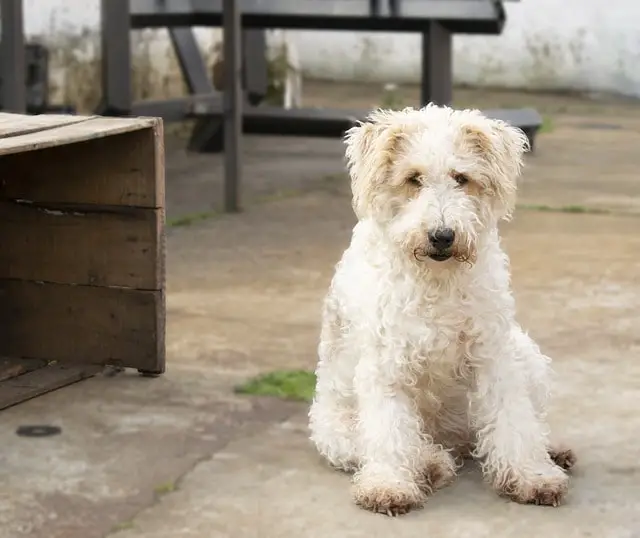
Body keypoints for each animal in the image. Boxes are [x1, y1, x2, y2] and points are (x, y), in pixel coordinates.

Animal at [308, 102, 576, 512]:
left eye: (461, 177)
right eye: (413, 178)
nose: (442, 236)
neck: (437, 279)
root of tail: (456, 441)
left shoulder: (493, 356)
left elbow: (514, 421)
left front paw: (533, 477)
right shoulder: (386, 367)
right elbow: (388, 431)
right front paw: (389, 485)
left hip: (525, 354)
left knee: (528, 422)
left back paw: (553, 450)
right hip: (334, 430)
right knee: (394, 444)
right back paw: (429, 464)